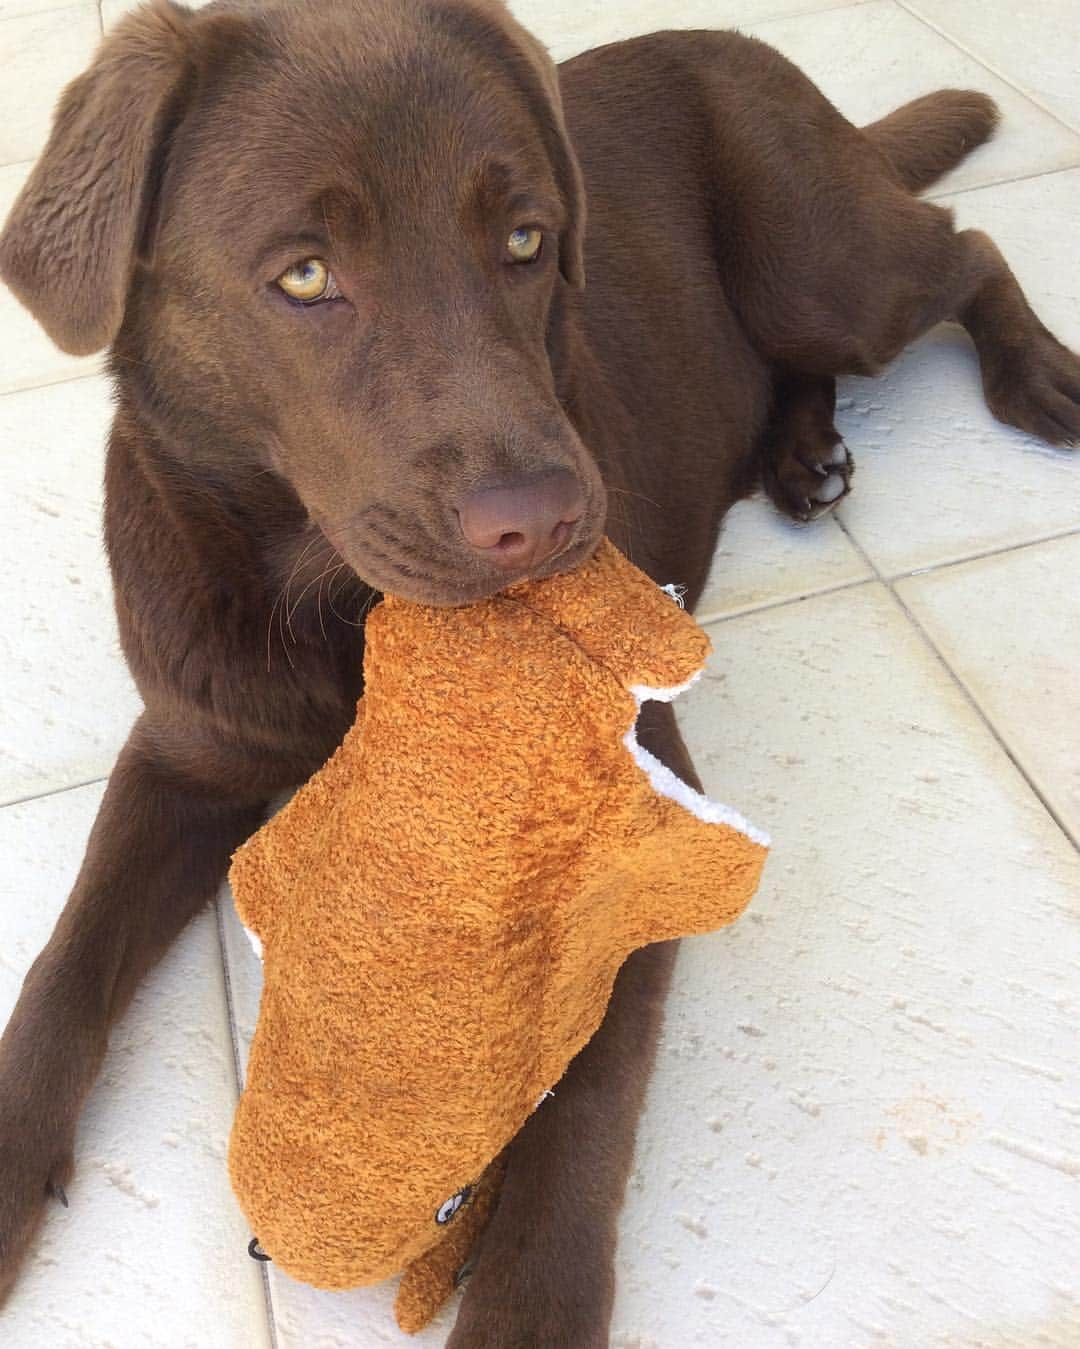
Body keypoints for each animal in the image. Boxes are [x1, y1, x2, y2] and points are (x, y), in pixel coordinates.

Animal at [2, 0, 1078, 1338]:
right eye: (304, 273)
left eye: (526, 242)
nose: (551, 520)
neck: (340, 618)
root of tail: (730, 42)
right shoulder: (185, 750)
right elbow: (64, 961)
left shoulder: (648, 815)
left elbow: (585, 1106)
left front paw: (531, 1298)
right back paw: (801, 452)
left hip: (820, 270)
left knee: (966, 247)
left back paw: (1036, 376)